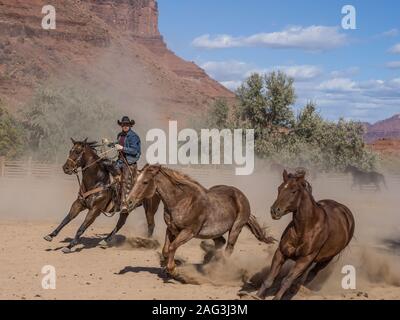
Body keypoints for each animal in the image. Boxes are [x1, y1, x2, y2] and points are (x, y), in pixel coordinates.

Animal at [126, 165, 276, 278]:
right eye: (135, 180)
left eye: (145, 182)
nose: (128, 202)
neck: (181, 201)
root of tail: (241, 195)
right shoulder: (171, 229)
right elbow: (165, 249)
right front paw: (166, 265)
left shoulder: (189, 232)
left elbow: (172, 247)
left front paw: (173, 270)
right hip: (214, 233)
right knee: (220, 242)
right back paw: (207, 260)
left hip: (236, 228)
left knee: (228, 248)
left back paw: (219, 269)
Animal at [256, 170, 354, 300]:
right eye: (279, 188)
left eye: (293, 191)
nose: (275, 211)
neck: (305, 228)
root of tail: (345, 211)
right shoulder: (281, 252)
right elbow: (269, 279)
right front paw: (257, 296)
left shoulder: (305, 258)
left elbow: (287, 281)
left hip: (326, 259)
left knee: (312, 273)